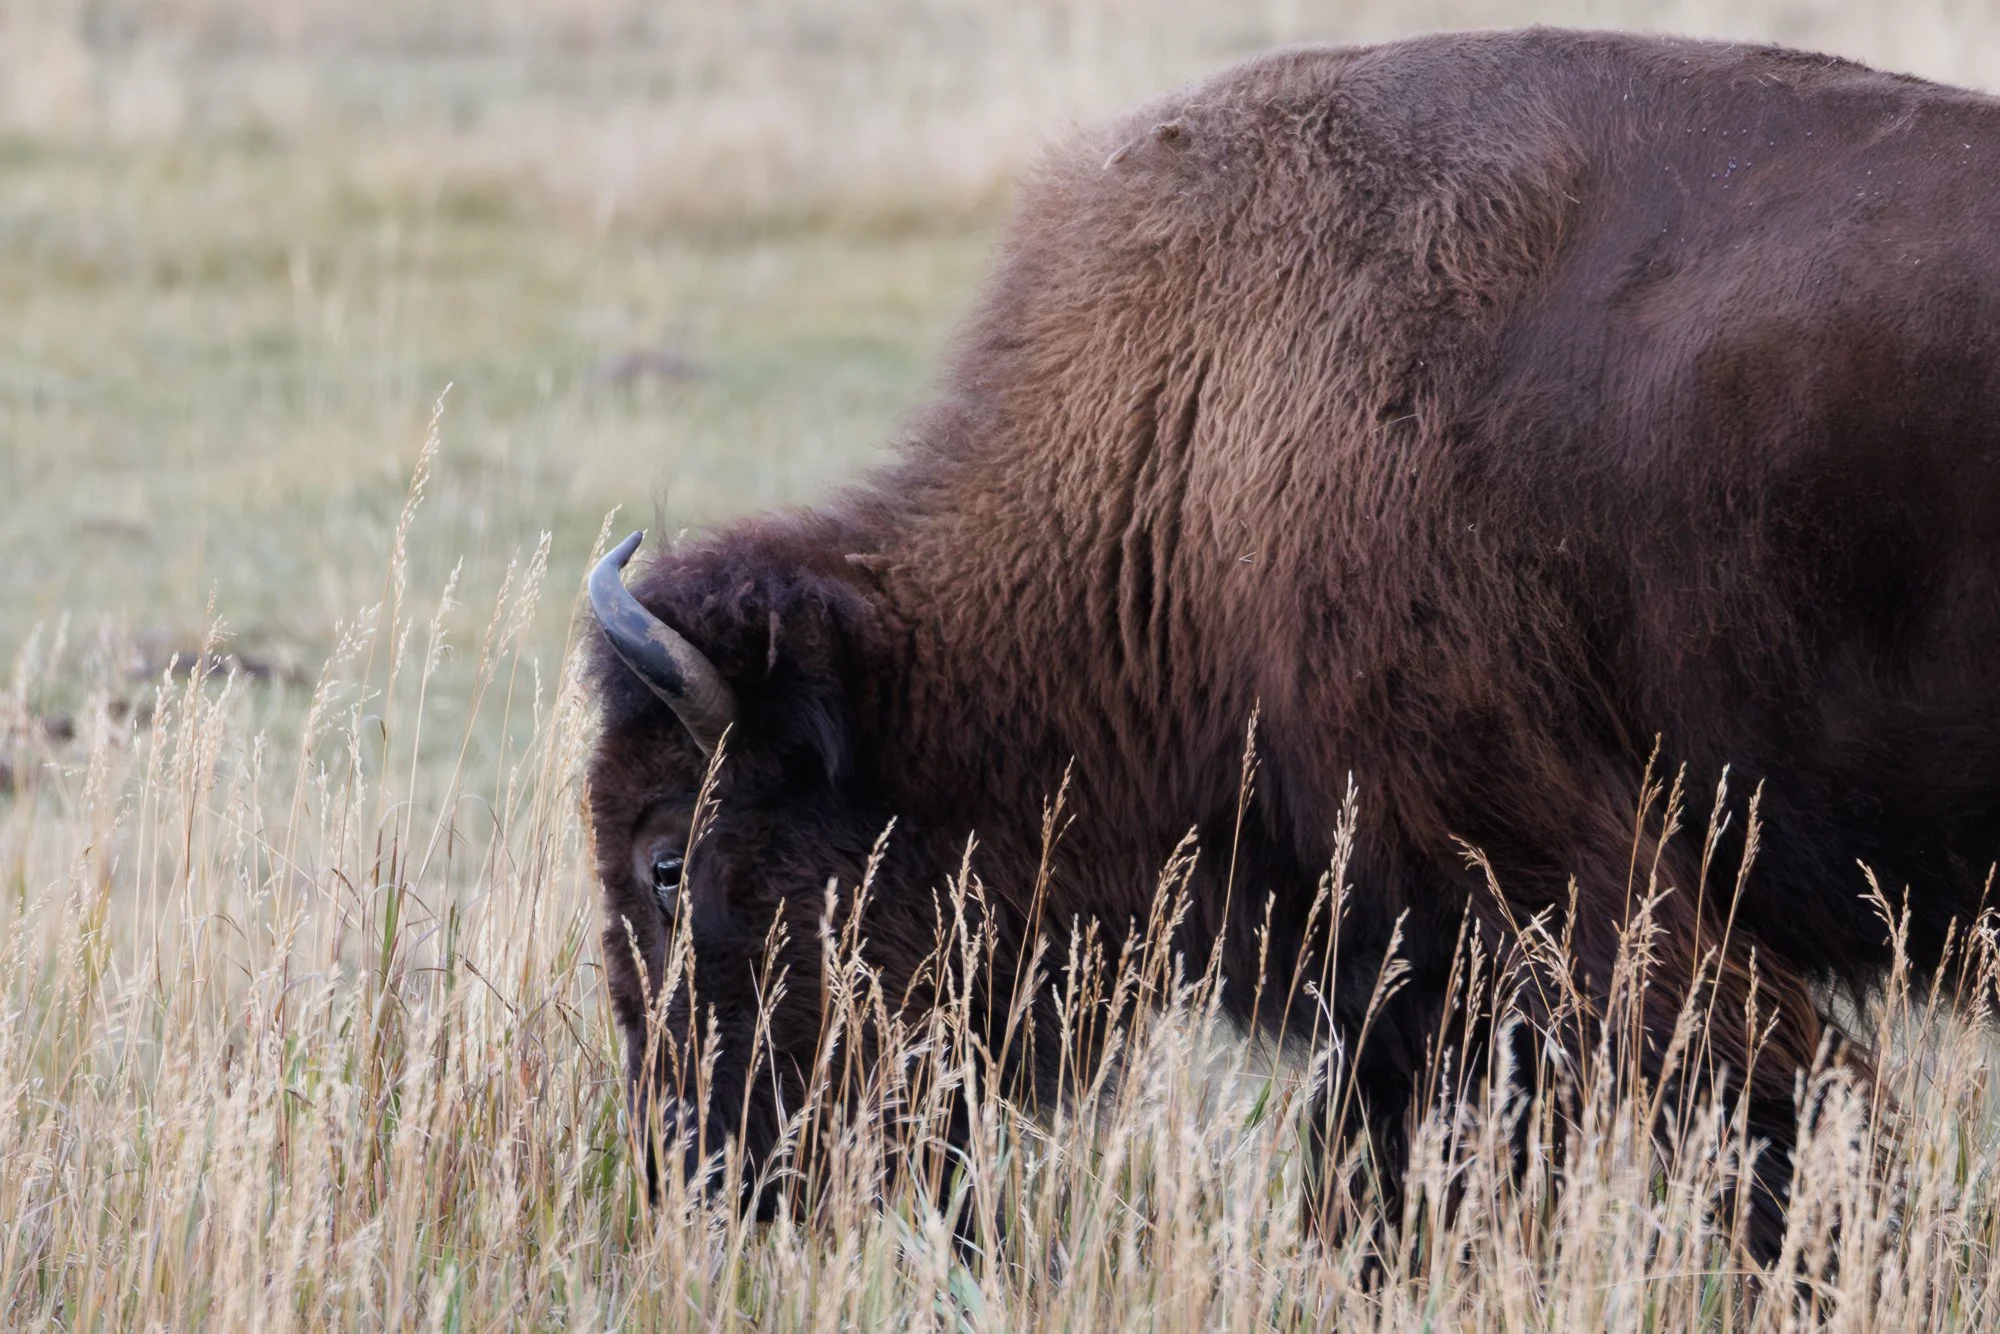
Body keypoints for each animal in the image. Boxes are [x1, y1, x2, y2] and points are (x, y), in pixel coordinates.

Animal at [584, 28, 2000, 1258]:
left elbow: (1785, 1133)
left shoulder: (1572, 894)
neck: (1184, 441)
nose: (693, 1168)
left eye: (666, 859)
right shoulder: (1409, 970)